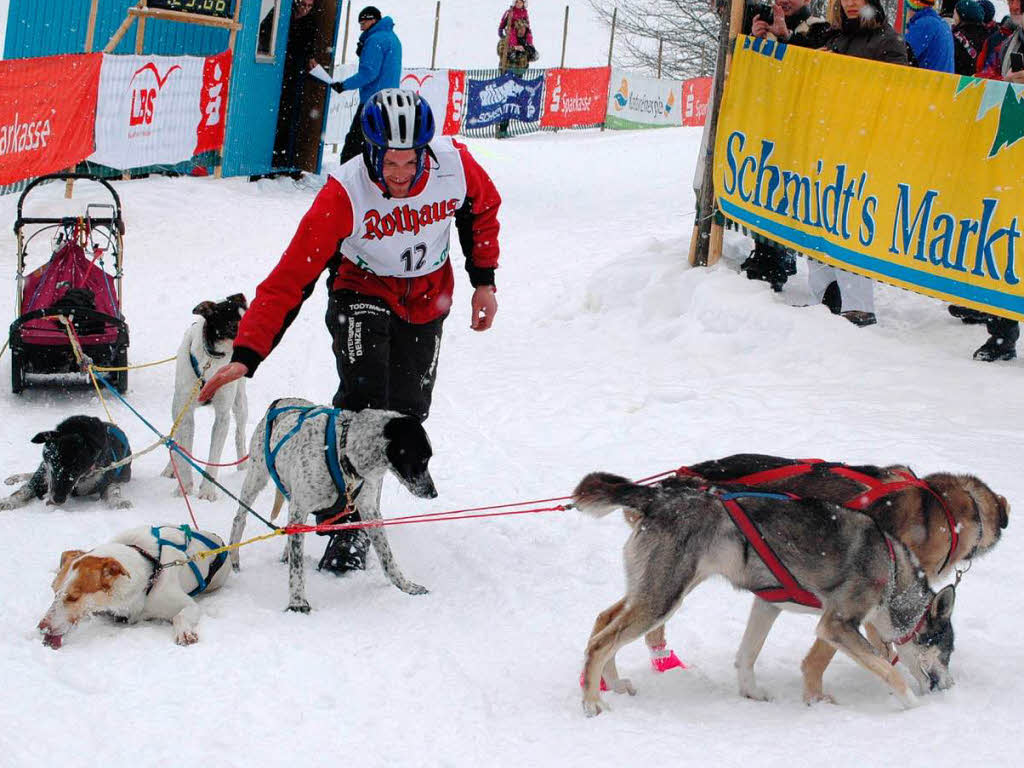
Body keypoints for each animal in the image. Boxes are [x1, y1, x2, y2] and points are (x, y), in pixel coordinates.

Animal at [0, 415, 132, 512]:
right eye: (55, 465)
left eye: (77, 470)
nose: (58, 499)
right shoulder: (44, 475)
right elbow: (24, 490)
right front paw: (8, 501)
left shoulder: (106, 478)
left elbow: (113, 490)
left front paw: (119, 501)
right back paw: (14, 478)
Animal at [37, 528, 230, 647]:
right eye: (53, 591)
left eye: (73, 596)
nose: (41, 628)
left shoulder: (188, 604)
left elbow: (180, 616)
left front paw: (184, 632)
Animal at [163, 290, 251, 501]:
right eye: (233, 324)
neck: (211, 361)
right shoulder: (186, 414)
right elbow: (185, 450)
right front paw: (185, 487)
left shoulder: (223, 416)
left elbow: (214, 456)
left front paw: (207, 491)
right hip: (177, 408)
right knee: (176, 438)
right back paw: (172, 466)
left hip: (240, 404)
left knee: (240, 433)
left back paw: (242, 465)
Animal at [228, 403, 436, 614]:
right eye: (423, 457)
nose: (433, 492)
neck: (343, 451)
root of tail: (280, 402)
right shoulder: (300, 508)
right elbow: (297, 567)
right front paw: (297, 602)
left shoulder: (369, 510)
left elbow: (387, 557)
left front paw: (405, 586)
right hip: (256, 478)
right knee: (239, 519)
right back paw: (234, 558)